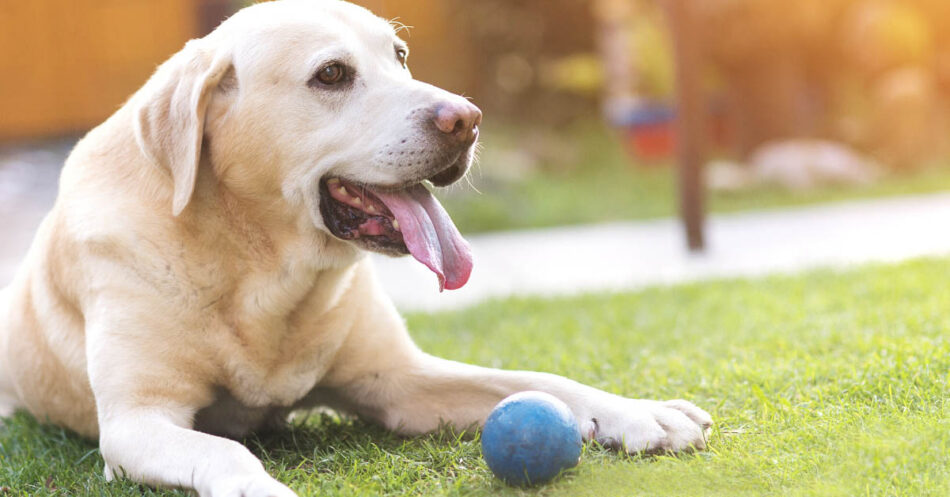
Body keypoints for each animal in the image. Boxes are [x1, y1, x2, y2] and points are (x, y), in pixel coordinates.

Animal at [0, 1, 712, 494]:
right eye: (332, 74)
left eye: (399, 55)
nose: (468, 119)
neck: (260, 268)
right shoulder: (139, 421)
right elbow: (223, 449)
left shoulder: (400, 382)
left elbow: (539, 379)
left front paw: (641, 413)